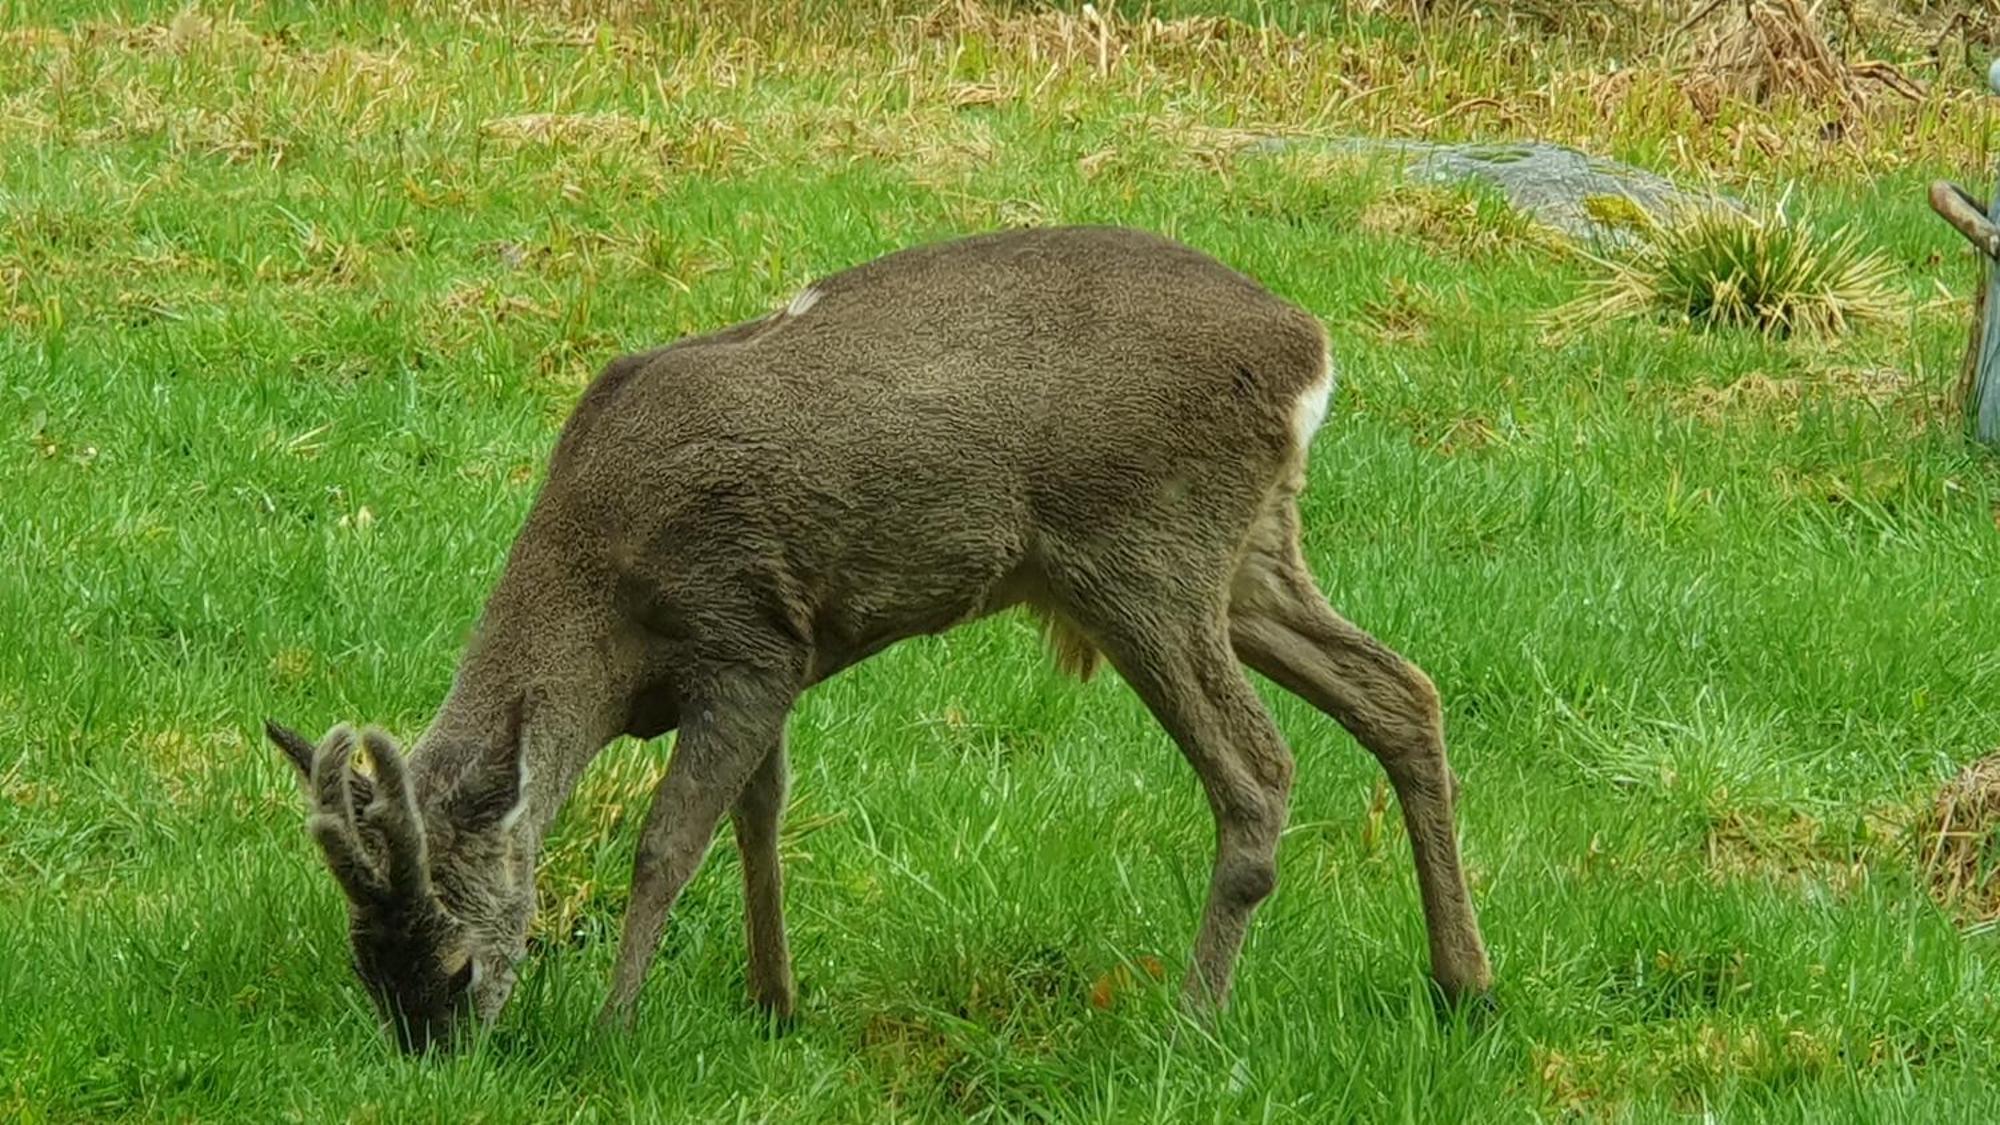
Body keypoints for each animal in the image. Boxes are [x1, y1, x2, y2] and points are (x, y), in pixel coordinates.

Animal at [262, 223, 1488, 1048]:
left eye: (460, 965)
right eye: (363, 969)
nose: (433, 1056)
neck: (602, 606)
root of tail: (1307, 352)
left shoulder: (744, 636)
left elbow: (667, 842)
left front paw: (615, 1028)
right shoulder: (781, 657)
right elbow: (759, 816)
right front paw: (775, 1005)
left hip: (1144, 551)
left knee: (1260, 764)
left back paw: (1190, 1017)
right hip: (1249, 554)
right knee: (1403, 691)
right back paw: (1462, 984)